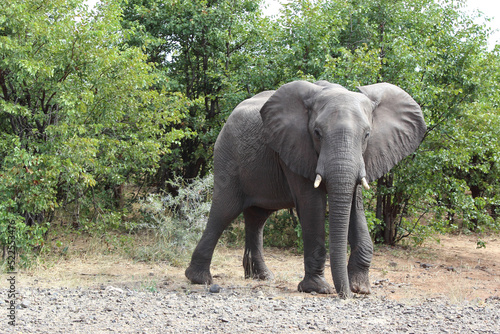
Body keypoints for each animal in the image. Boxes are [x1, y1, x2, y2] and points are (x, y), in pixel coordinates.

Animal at [186, 80, 428, 298]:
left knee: (257, 217)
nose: (345, 295)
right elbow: (312, 205)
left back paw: (262, 277)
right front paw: (319, 288)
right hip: (228, 155)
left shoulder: (364, 156)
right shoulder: (296, 145)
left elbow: (355, 205)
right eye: (317, 132)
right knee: (224, 211)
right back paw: (199, 279)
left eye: (367, 135)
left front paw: (362, 288)